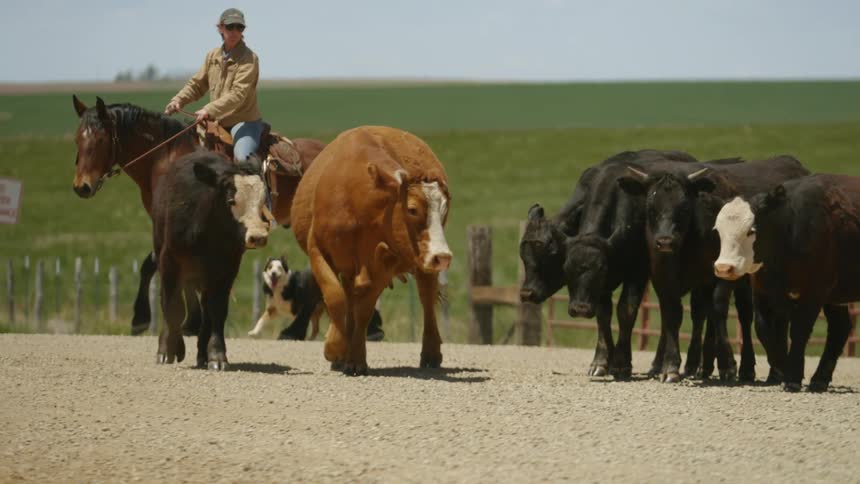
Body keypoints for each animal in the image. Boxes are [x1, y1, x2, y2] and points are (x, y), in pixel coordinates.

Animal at [152, 152, 270, 369]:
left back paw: (202, 354)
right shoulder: (170, 262)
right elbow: (173, 305)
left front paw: (216, 355)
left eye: (261, 203)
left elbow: (217, 310)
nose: (258, 236)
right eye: (231, 200)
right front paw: (169, 348)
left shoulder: (226, 271)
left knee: (206, 309)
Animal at [290, 126, 452, 375]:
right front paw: (336, 348)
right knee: (348, 295)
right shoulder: (317, 250)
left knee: (426, 298)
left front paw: (355, 357)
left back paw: (431, 353)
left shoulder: (387, 261)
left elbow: (364, 309)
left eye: (444, 209)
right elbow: (335, 297)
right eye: (412, 209)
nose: (443, 256)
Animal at [520, 150, 698, 378]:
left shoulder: (637, 272)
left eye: (550, 255)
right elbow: (603, 314)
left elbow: (626, 310)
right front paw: (602, 361)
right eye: (566, 269)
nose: (527, 293)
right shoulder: (600, 288)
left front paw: (621, 362)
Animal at [617, 155, 810, 382]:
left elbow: (717, 309)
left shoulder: (721, 272)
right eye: (650, 208)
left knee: (747, 315)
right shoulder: (663, 276)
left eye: (684, 207)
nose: (665, 241)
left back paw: (751, 368)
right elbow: (673, 316)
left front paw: (726, 364)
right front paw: (670, 366)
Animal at [713, 174, 859, 391]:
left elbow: (799, 330)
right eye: (718, 230)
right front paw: (782, 366)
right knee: (839, 328)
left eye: (751, 231)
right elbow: (763, 329)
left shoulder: (815, 292)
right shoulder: (762, 291)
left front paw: (792, 376)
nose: (724, 268)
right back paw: (819, 379)